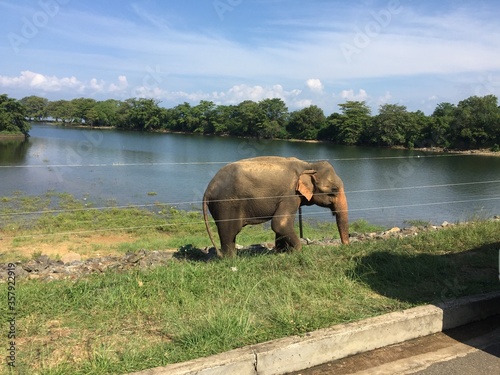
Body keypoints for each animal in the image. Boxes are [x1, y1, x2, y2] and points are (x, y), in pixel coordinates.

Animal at [201, 156, 350, 258]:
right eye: (334, 190)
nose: (345, 246)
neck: (308, 165)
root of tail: (208, 189)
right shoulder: (290, 194)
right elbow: (280, 224)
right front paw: (299, 252)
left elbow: (281, 226)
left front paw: (281, 252)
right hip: (226, 205)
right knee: (229, 231)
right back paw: (230, 259)